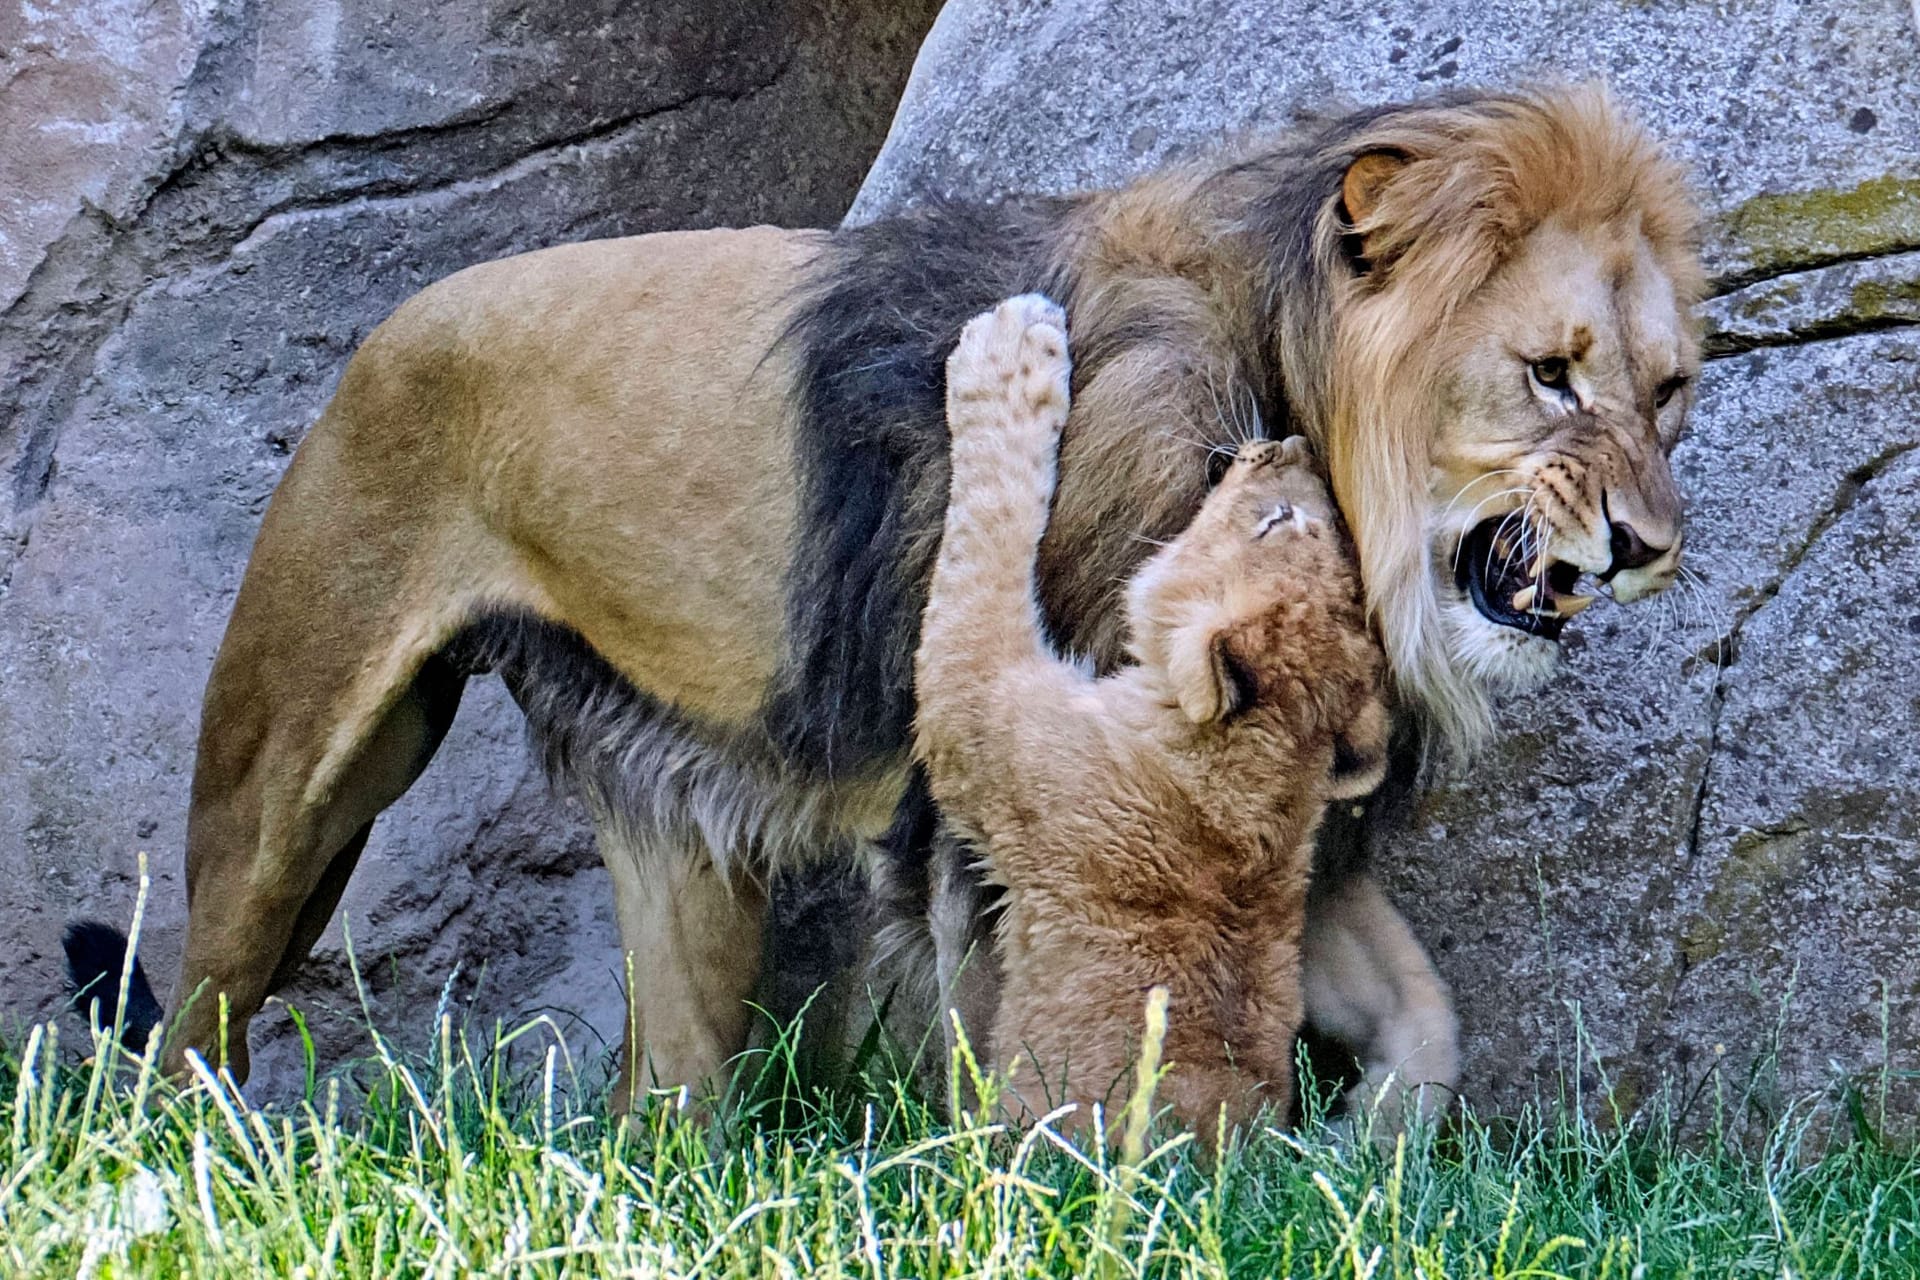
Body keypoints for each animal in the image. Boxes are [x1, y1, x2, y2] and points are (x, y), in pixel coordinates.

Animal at [93, 87, 1712, 1113]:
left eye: (1670, 391)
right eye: (1550, 375)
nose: (1647, 545)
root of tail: (387, 322)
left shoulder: (1240, 813)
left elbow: (1424, 1016)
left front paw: (1366, 1153)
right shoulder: (1019, 797)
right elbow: (1009, 1038)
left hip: (679, 851)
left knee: (663, 1099)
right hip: (287, 786)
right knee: (196, 1009)